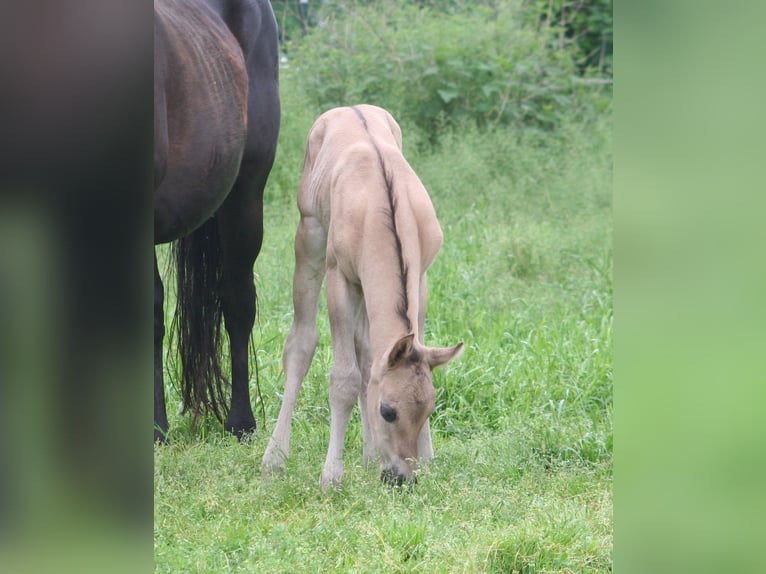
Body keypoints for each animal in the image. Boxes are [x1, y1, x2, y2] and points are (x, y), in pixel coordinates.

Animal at [260, 104, 464, 490]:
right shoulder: (340, 279)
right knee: (301, 342)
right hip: (310, 237)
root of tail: (346, 108)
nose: (402, 477)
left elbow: (382, 360)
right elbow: (345, 379)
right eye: (388, 410)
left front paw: (427, 459)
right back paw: (275, 457)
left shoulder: (420, 279)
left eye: (429, 408)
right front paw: (331, 476)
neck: (382, 209)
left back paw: (369, 457)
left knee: (368, 350)